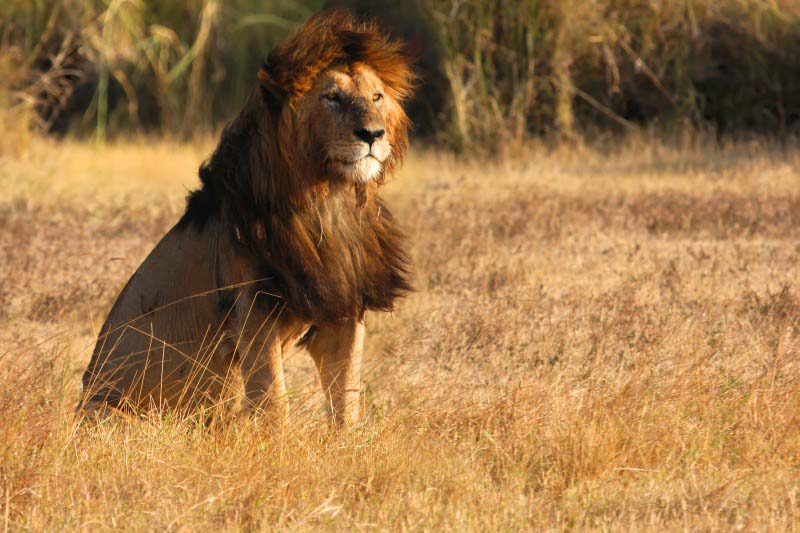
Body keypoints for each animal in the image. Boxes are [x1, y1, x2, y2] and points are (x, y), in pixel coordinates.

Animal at [78, 10, 416, 426]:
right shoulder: (253, 310)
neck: (329, 200)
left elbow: (346, 397)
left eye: (376, 97)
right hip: (112, 413)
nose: (373, 134)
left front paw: (350, 441)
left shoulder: (344, 305)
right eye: (332, 98)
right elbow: (274, 400)